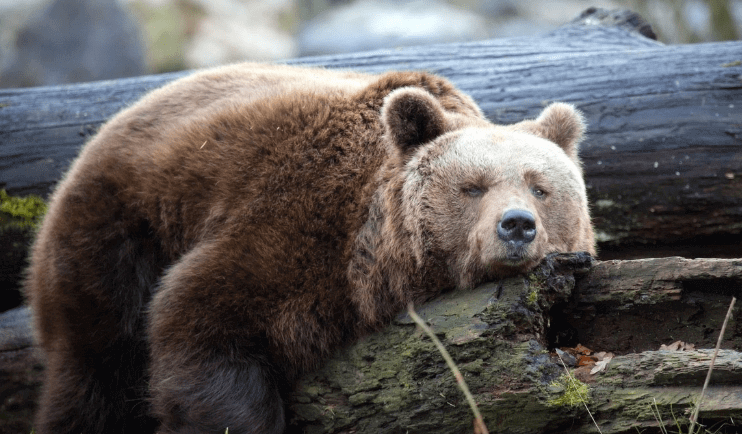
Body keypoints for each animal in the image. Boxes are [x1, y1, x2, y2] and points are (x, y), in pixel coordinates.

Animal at [24, 62, 600, 434]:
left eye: (539, 188)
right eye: (473, 186)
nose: (517, 226)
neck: (372, 256)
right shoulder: (290, 225)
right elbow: (200, 321)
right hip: (117, 234)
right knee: (95, 372)